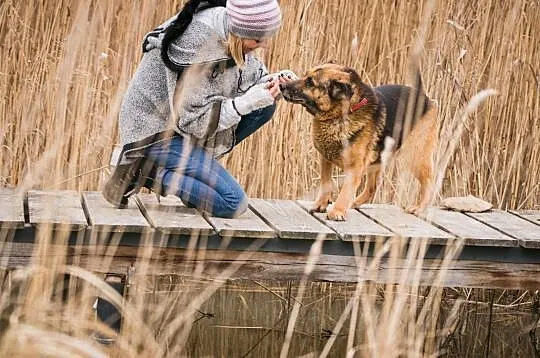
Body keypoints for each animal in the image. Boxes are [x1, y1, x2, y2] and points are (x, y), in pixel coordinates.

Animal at [278, 63, 438, 221]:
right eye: (305, 76)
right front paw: (321, 204)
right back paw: (354, 203)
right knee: (372, 188)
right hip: (377, 161)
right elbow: (326, 183)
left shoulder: (354, 167)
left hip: (413, 156)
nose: (281, 86)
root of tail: (424, 98)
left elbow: (346, 190)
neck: (339, 115)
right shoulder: (326, 160)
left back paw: (419, 208)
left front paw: (338, 211)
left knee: (429, 181)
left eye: (310, 82)